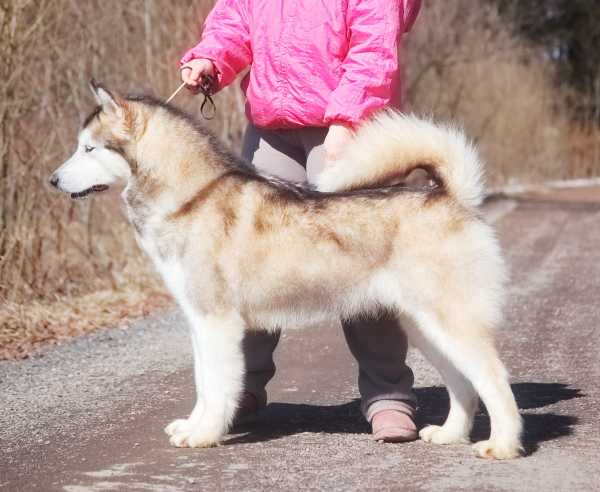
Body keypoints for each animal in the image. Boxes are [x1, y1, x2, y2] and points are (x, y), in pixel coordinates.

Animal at [49, 82, 524, 460]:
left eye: (89, 148)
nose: (52, 180)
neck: (192, 196)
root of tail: (450, 196)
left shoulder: (217, 323)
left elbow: (216, 386)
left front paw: (204, 434)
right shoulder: (199, 322)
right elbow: (203, 382)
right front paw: (193, 425)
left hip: (450, 322)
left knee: (494, 380)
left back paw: (501, 445)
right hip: (424, 326)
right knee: (463, 384)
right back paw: (450, 434)